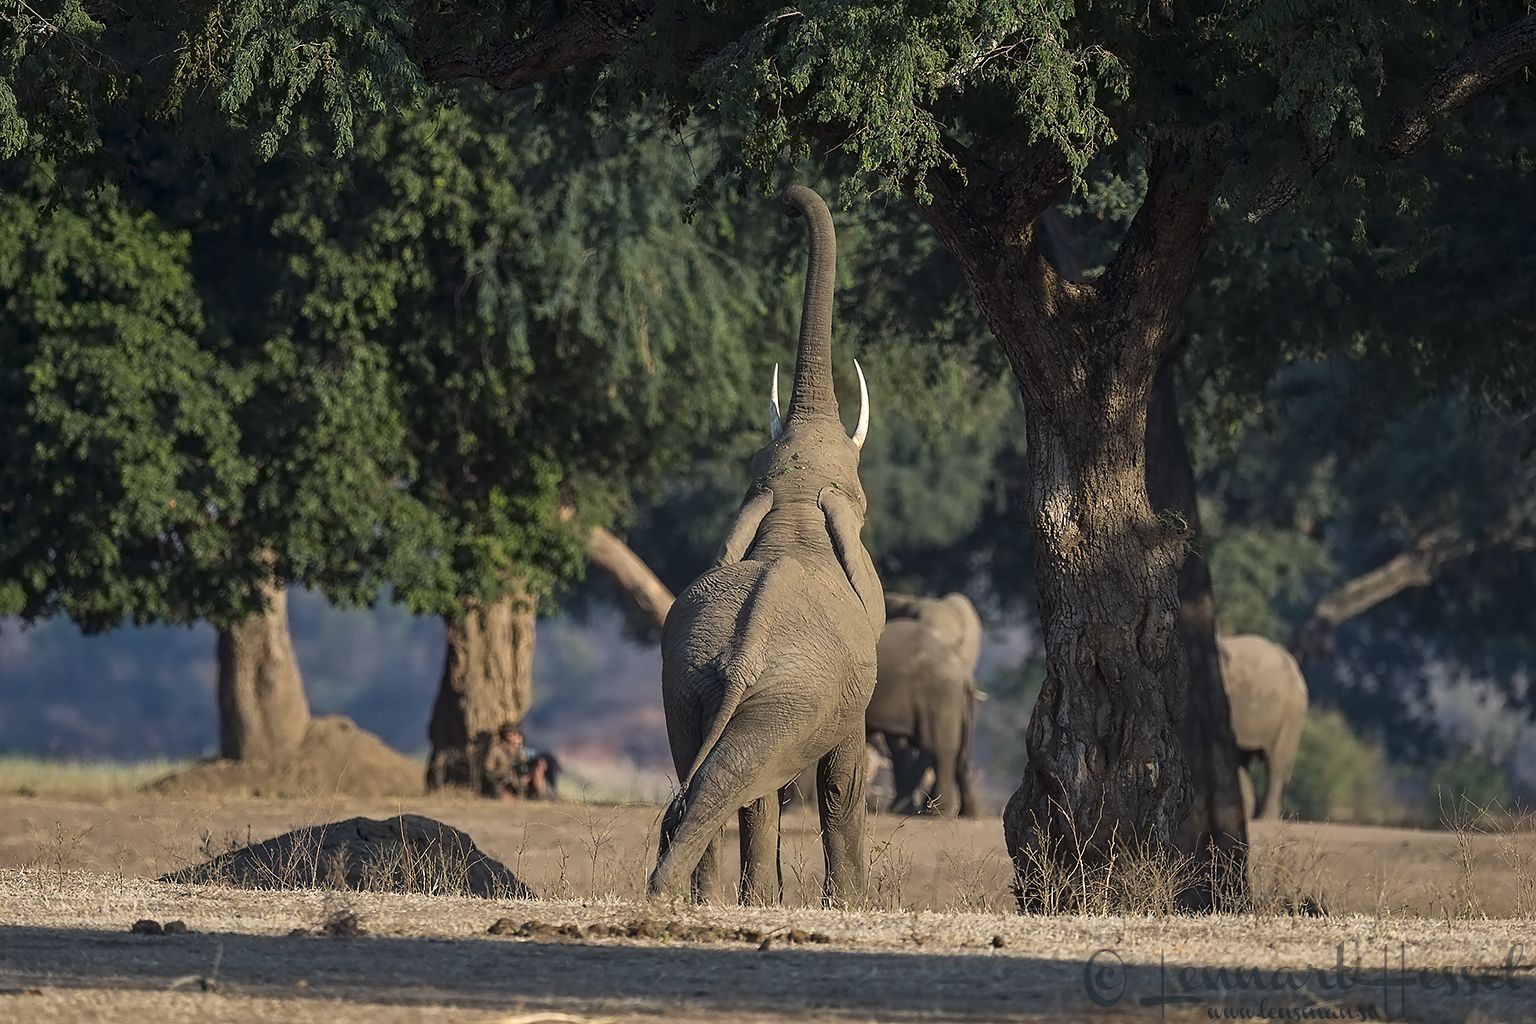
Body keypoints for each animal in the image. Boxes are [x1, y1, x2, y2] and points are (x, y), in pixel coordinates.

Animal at [651, 185, 884, 906]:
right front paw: (852, 909)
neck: (794, 512)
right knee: (738, 781)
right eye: (860, 493)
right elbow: (842, 781)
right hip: (784, 695)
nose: (786, 201)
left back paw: (699, 900)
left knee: (718, 778)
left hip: (694, 683)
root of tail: (740, 664)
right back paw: (674, 897)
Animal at [865, 592, 983, 817]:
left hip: (939, 693)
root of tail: (962, 672)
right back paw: (966, 813)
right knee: (959, 752)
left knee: (939, 748)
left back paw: (936, 811)